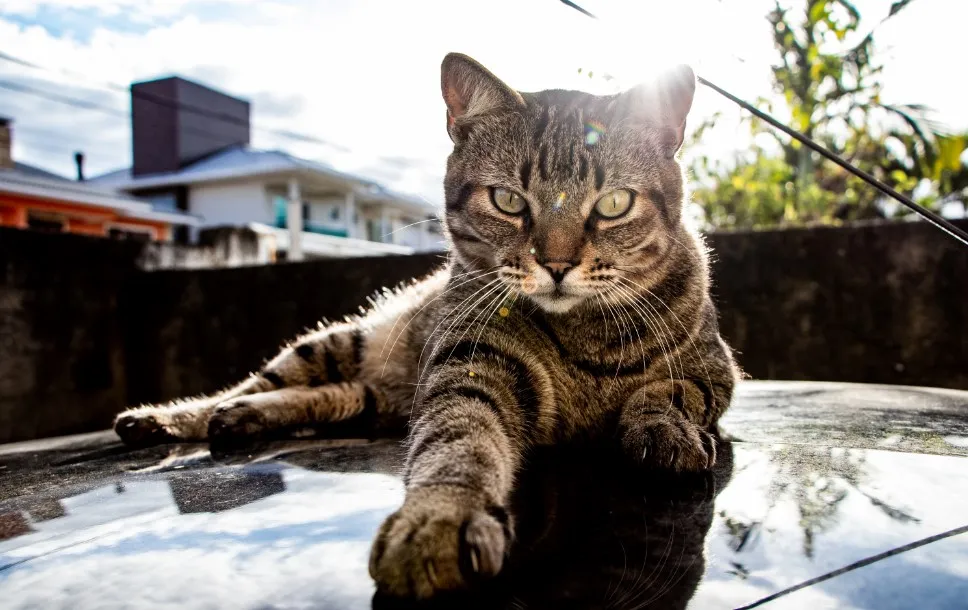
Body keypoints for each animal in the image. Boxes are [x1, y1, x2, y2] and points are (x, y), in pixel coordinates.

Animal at [113, 53, 736, 600]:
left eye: (613, 204)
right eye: (508, 200)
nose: (557, 265)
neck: (586, 338)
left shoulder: (716, 370)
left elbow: (668, 390)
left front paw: (665, 430)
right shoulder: (469, 363)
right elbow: (458, 437)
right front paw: (440, 518)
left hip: (372, 397)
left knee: (327, 397)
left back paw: (240, 417)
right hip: (336, 343)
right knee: (252, 383)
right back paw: (170, 417)